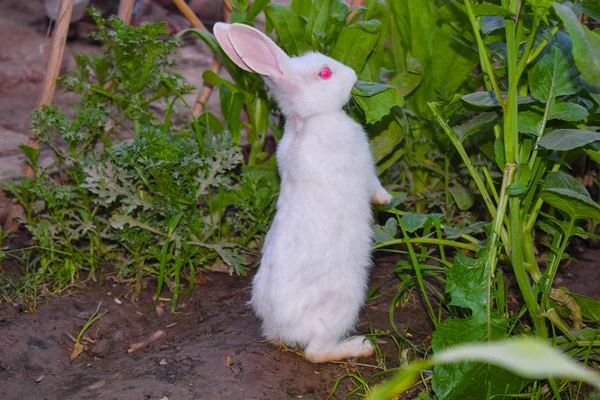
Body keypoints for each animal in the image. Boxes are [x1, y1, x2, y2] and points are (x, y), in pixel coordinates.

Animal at [213, 21, 392, 362]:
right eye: (325, 73)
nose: (352, 74)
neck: (307, 121)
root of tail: (283, 328)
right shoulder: (362, 163)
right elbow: (373, 183)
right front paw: (385, 199)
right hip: (343, 302)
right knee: (315, 352)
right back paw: (361, 346)